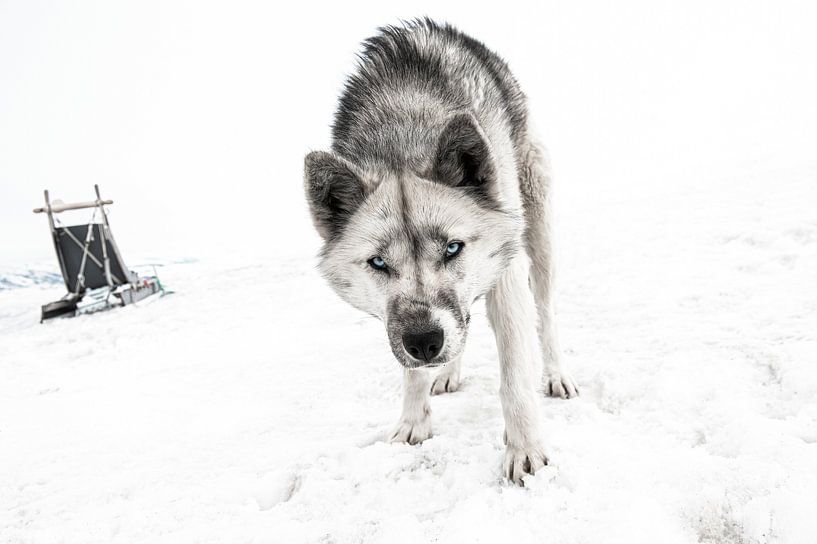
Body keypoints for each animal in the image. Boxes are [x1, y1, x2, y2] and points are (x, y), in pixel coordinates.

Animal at [302, 19, 576, 484]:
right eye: (378, 262)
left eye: (452, 247)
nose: (426, 343)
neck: (402, 135)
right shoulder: (399, 320)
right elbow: (411, 373)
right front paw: (413, 423)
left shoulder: (505, 275)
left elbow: (515, 375)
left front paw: (524, 450)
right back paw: (448, 372)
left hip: (539, 241)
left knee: (547, 317)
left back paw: (556, 375)